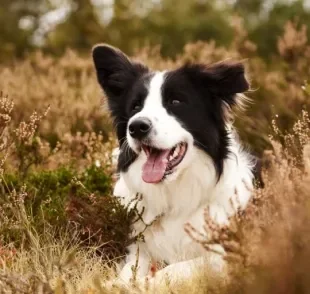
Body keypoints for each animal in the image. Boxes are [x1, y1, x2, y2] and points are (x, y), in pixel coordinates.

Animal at [91, 44, 254, 284]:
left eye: (175, 102)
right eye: (136, 106)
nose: (137, 127)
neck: (174, 195)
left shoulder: (227, 255)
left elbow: (172, 270)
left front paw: (143, 285)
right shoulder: (139, 250)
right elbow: (128, 272)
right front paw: (114, 284)